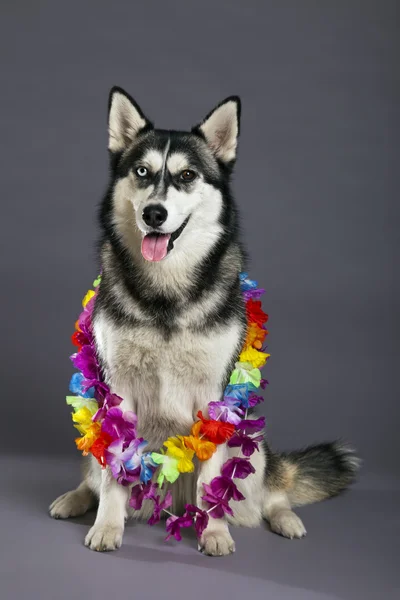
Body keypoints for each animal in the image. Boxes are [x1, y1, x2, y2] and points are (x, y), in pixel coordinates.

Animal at [49, 88, 360, 556]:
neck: (166, 294)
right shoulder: (116, 394)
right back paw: (75, 499)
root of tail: (169, 504)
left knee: (269, 493)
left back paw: (284, 518)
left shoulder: (215, 399)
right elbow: (114, 475)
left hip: (250, 447)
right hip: (93, 432)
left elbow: (212, 479)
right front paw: (107, 525)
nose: (154, 214)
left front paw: (213, 532)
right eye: (142, 172)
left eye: (187, 175)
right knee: (94, 475)